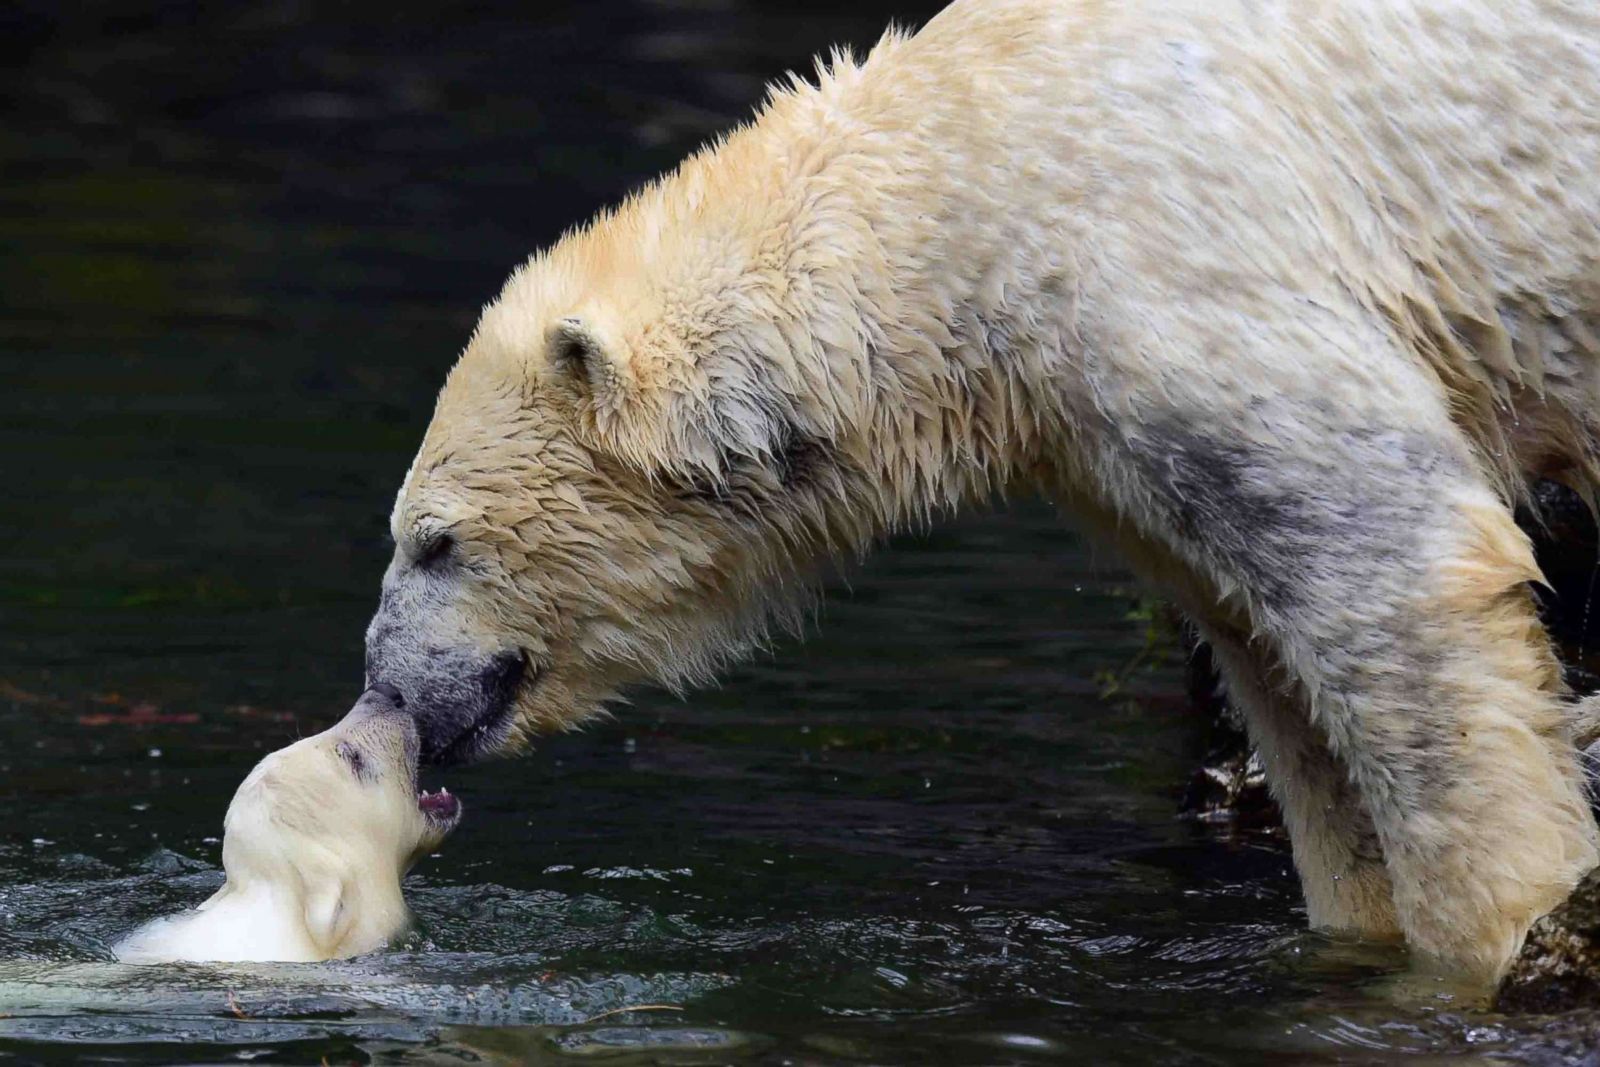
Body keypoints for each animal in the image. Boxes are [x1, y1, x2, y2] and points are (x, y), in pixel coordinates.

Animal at [363, 0, 1600, 985]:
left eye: (436, 540)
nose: (389, 689)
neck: (975, 178)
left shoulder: (1178, 284)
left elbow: (1393, 569)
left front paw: (1497, 931)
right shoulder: (1097, 433)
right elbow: (1270, 657)